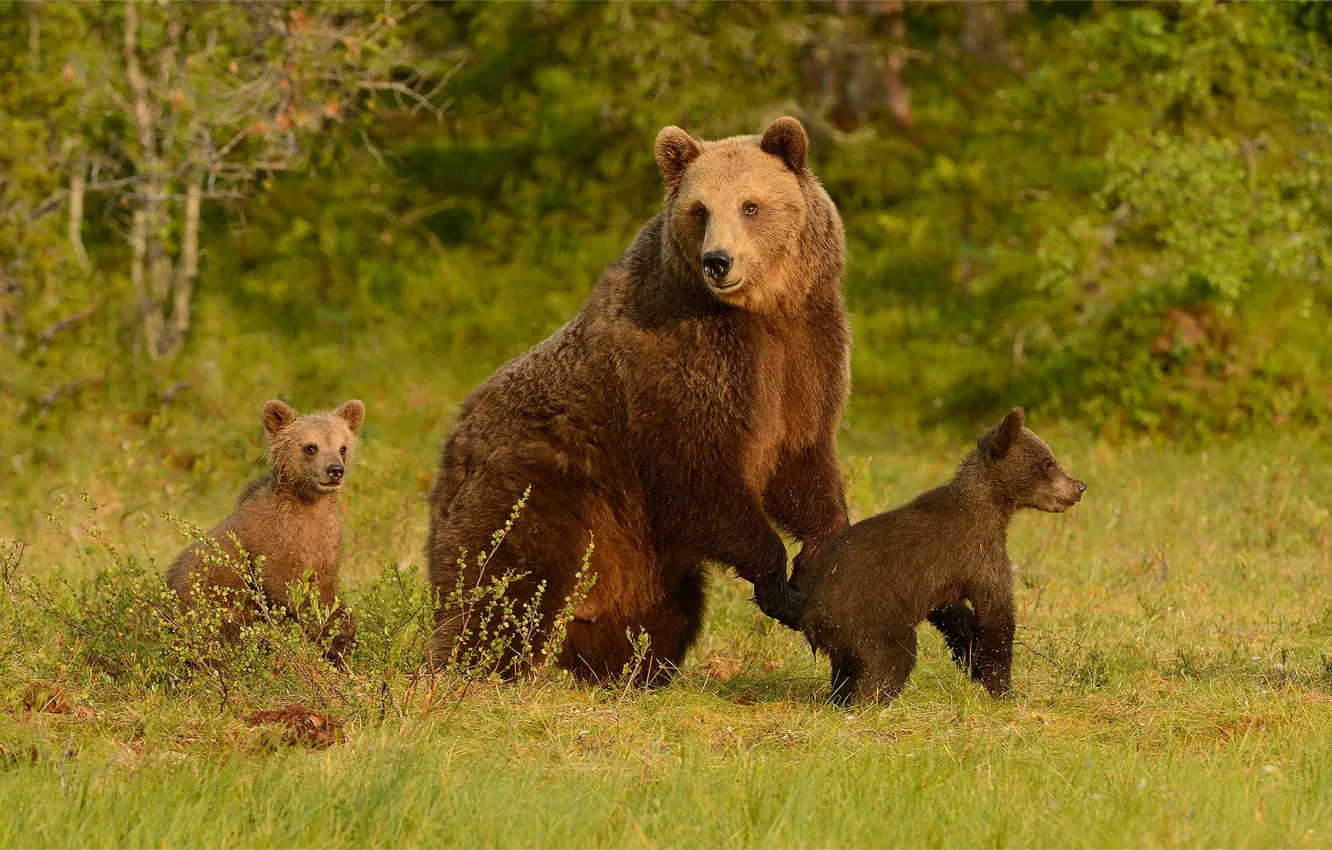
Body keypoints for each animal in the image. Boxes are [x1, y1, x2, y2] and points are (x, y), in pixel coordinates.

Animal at [428, 116, 852, 687]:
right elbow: (698, 470)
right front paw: (776, 581)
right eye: (700, 209)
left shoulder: (806, 354)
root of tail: (451, 444)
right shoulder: (683, 364)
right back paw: (482, 667)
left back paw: (626, 669)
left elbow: (802, 460)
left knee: (661, 615)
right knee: (505, 581)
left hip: (639, 557)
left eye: (751, 205)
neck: (759, 313)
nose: (718, 262)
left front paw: (818, 552)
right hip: (542, 483)